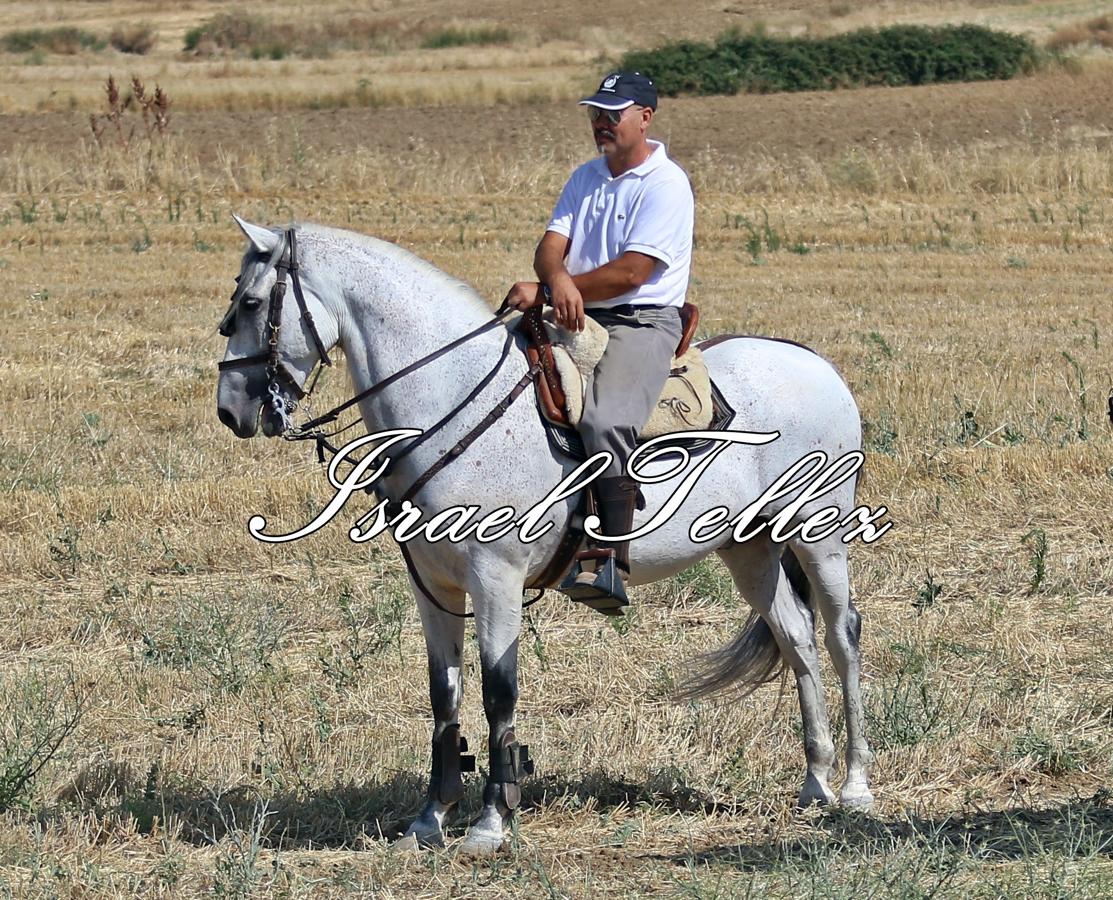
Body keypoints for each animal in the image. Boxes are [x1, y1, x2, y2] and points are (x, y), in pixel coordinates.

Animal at [217, 218, 872, 858]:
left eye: (249, 303)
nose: (230, 412)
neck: (451, 403)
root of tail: (815, 363)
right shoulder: (434, 587)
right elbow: (444, 696)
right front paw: (429, 820)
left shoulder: (496, 579)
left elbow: (497, 692)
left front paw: (491, 822)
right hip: (752, 550)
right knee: (797, 638)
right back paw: (815, 783)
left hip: (819, 537)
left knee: (840, 637)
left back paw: (855, 787)